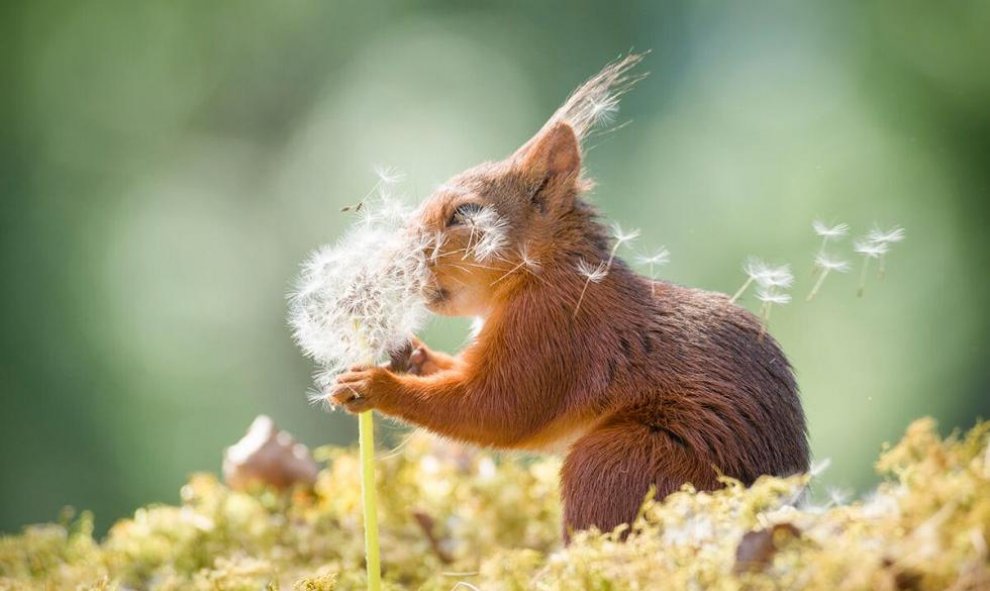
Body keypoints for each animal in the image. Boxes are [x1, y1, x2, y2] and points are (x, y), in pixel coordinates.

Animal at [330, 55, 808, 540]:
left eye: (465, 213)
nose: (393, 262)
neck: (543, 273)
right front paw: (411, 355)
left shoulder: (553, 329)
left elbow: (496, 409)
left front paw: (374, 385)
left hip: (619, 460)